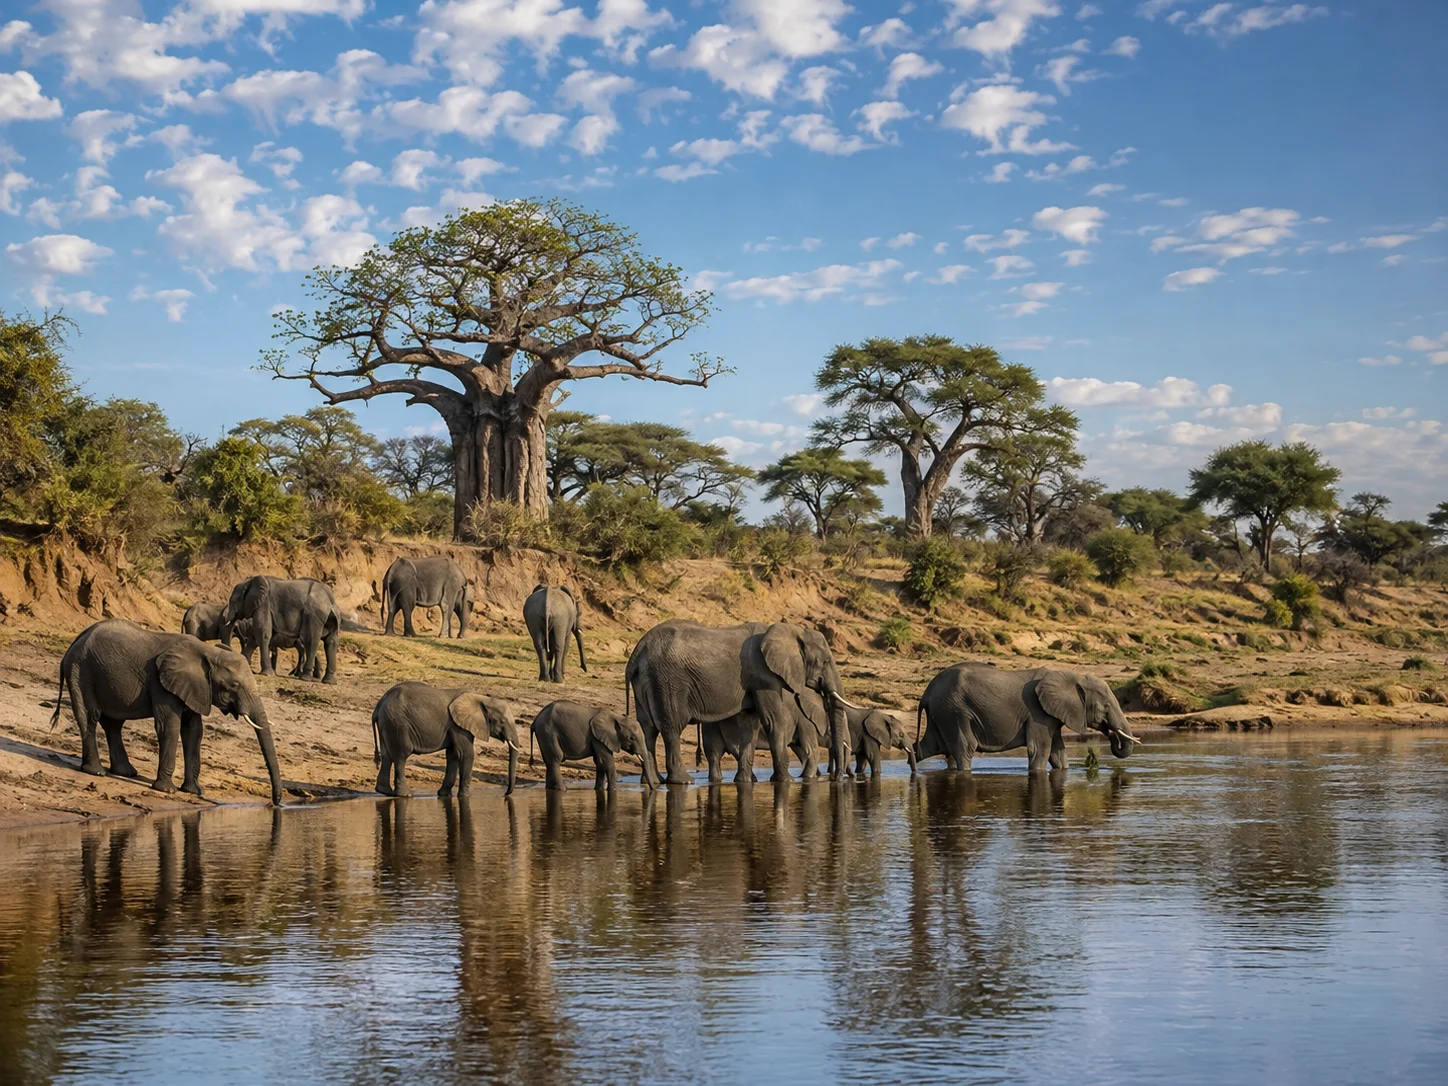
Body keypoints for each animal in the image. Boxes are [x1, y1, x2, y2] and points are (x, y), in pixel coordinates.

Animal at [50, 619, 284, 805]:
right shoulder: (161, 683)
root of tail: (71, 646)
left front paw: (194, 791)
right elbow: (169, 726)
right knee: (91, 716)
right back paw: (96, 771)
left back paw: (125, 772)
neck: (207, 652)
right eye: (234, 685)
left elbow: (193, 730)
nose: (276, 803)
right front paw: (167, 790)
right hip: (81, 671)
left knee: (113, 723)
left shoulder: (193, 688)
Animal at [371, 681, 522, 797]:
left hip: (388, 723)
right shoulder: (458, 726)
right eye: (502, 721)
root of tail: (379, 704)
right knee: (401, 756)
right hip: (398, 724)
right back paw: (406, 795)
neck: (481, 698)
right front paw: (466, 796)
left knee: (387, 756)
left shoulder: (455, 726)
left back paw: (385, 792)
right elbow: (466, 754)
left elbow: (453, 754)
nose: (505, 793)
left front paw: (444, 795)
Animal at [528, 700, 660, 792]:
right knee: (555, 759)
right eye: (631, 738)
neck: (617, 717)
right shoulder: (598, 737)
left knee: (549, 761)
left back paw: (551, 789)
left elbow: (599, 762)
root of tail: (535, 720)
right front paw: (613, 790)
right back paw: (562, 789)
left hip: (544, 734)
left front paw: (599, 790)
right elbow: (606, 762)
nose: (654, 789)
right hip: (548, 732)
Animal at [625, 620, 858, 785]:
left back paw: (653, 781)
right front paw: (786, 781)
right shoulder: (764, 675)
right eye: (825, 662)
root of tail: (639, 649)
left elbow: (750, 724)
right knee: (671, 728)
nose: (837, 779)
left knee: (647, 729)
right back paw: (683, 781)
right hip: (668, 681)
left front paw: (746, 781)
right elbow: (772, 720)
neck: (793, 631)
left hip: (647, 681)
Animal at [914, 664, 1142, 773]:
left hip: (942, 713)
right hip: (954, 711)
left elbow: (1058, 754)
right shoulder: (1038, 713)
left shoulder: (1051, 715)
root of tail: (928, 691)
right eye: (1106, 707)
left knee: (930, 747)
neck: (1072, 676)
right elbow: (1040, 750)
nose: (1111, 735)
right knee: (965, 747)